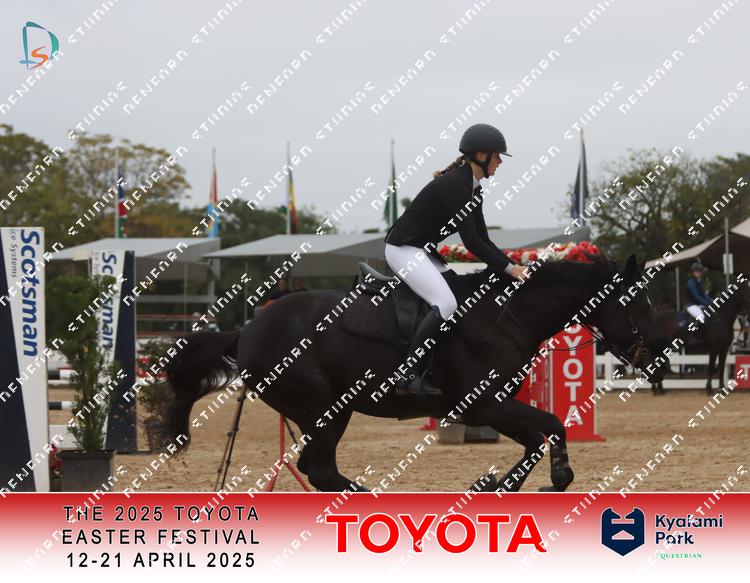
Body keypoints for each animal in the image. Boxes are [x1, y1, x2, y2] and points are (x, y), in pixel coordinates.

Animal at [158, 254, 671, 493]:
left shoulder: (492, 406)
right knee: (319, 469)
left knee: (318, 469)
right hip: (325, 408)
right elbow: (552, 425)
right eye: (639, 303)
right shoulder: (483, 403)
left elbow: (534, 441)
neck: (507, 317)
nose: (661, 359)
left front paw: (494, 485)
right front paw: (558, 477)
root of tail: (246, 329)